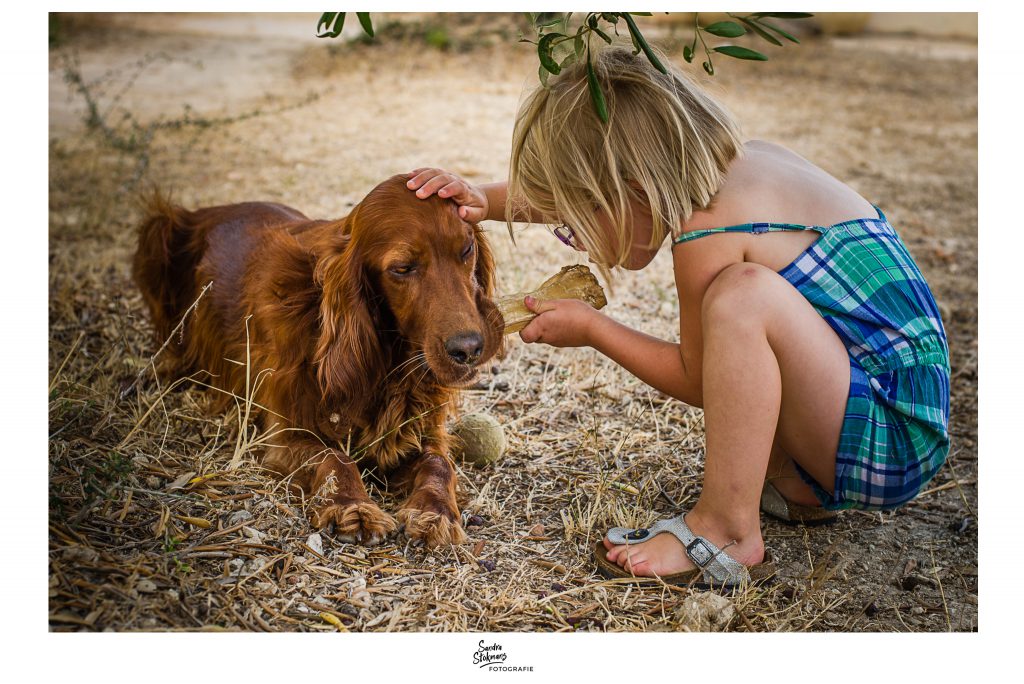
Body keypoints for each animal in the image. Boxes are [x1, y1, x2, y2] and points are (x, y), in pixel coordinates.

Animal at [136, 175, 503, 544]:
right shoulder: (284, 433)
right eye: (402, 269)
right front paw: (353, 508)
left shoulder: (420, 427)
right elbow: (334, 456)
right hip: (158, 231)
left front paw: (435, 512)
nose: (469, 349)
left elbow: (439, 463)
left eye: (466, 250)